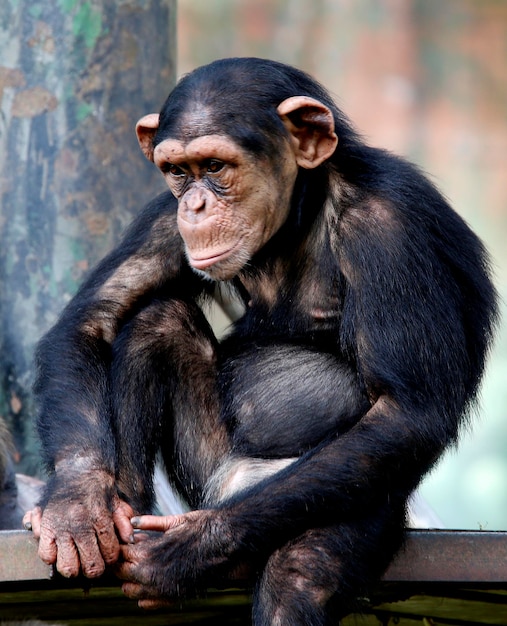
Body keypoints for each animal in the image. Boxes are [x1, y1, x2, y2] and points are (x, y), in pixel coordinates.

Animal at [25, 57, 498, 620]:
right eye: (179, 172)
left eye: (215, 166)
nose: (195, 205)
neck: (300, 213)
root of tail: (236, 485)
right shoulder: (163, 214)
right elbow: (90, 321)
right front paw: (74, 507)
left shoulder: (388, 225)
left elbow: (407, 410)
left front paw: (191, 549)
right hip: (208, 471)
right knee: (154, 320)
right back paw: (126, 511)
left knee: (301, 566)